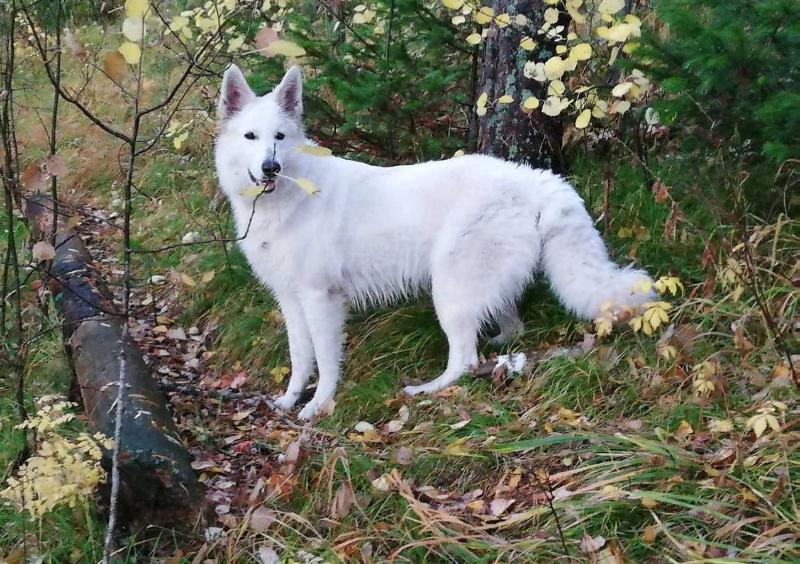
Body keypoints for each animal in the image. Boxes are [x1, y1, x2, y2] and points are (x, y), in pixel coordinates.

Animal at [216, 66, 652, 418]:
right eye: (251, 136)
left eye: (280, 137)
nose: (271, 167)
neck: (289, 197)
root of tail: (536, 179)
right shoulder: (291, 300)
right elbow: (299, 358)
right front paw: (291, 400)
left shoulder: (321, 300)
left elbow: (324, 361)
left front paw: (318, 406)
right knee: (510, 327)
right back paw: (497, 348)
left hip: (449, 289)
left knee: (464, 359)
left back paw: (429, 389)